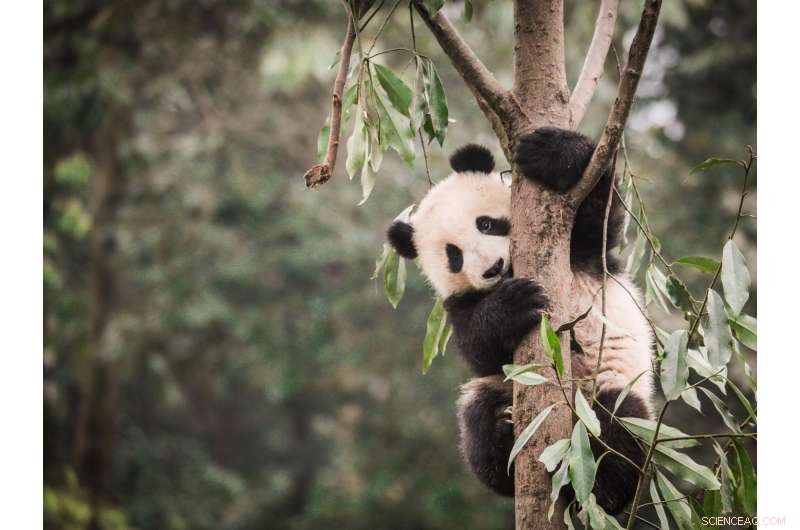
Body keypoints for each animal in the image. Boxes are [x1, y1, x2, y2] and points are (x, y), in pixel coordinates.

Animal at [386, 127, 654, 515]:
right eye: (454, 256)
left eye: (486, 224)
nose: (492, 268)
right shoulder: (459, 303)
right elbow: (479, 349)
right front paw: (514, 304)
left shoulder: (581, 252)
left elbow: (600, 216)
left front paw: (551, 152)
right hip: (497, 390)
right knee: (477, 425)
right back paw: (504, 433)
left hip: (609, 389)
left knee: (618, 425)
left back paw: (599, 488)